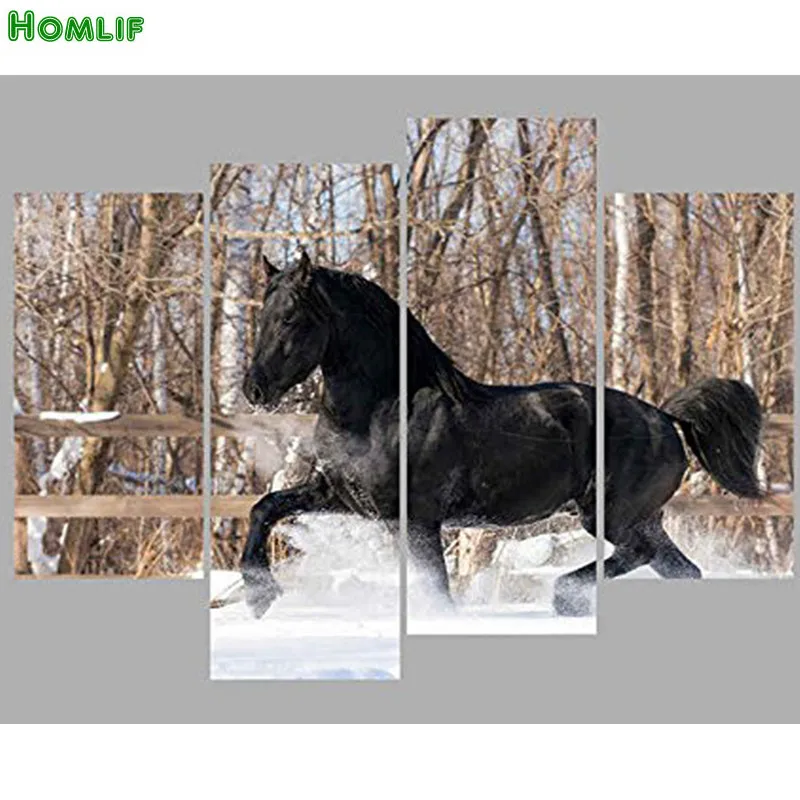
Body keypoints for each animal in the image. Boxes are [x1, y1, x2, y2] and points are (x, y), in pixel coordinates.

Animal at [240, 251, 764, 617]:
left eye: (290, 318)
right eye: (262, 317)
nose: (254, 389)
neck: (382, 409)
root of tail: (665, 417)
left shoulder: (418, 520)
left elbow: (436, 588)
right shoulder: (343, 496)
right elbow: (265, 507)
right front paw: (258, 595)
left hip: (611, 515)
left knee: (639, 553)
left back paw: (565, 596)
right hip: (642, 517)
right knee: (679, 568)